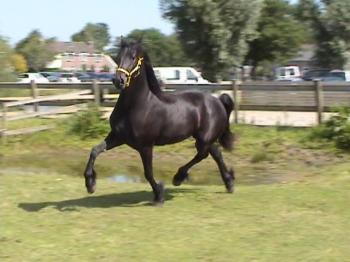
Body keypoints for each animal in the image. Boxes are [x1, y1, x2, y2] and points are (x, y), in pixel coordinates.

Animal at [83, 40, 235, 205]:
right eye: (118, 56)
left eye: (133, 57)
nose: (119, 80)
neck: (137, 105)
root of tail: (218, 101)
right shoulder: (118, 137)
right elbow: (95, 150)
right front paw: (90, 184)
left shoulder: (146, 146)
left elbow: (148, 172)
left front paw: (159, 195)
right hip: (204, 139)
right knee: (216, 153)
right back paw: (229, 183)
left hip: (203, 139)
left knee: (203, 155)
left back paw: (178, 177)